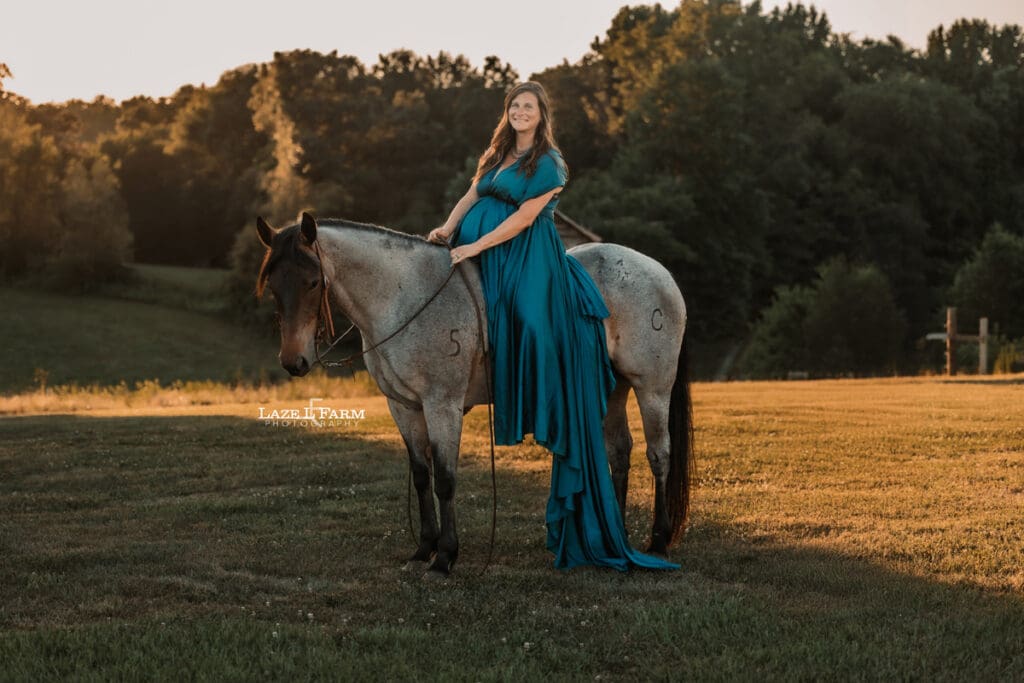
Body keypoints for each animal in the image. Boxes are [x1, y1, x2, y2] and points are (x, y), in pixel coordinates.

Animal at [255, 212, 693, 577]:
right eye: (273, 286)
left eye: (313, 282)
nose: (293, 361)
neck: (403, 298)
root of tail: (660, 274)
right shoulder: (403, 408)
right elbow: (421, 476)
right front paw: (424, 550)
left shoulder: (442, 405)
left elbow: (445, 479)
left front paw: (445, 557)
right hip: (613, 389)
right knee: (619, 453)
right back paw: (611, 539)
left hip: (652, 387)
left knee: (658, 455)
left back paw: (657, 541)